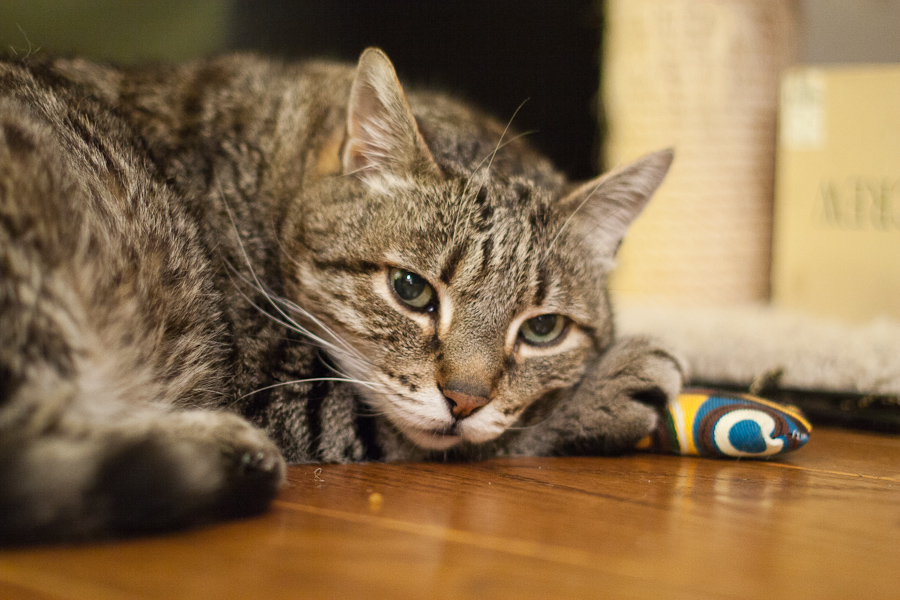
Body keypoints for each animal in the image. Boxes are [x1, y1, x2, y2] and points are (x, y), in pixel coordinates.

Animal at [0, 47, 680, 544]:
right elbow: (447, 436)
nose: (465, 401)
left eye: (542, 329)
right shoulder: (276, 393)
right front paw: (609, 387)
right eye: (411, 290)